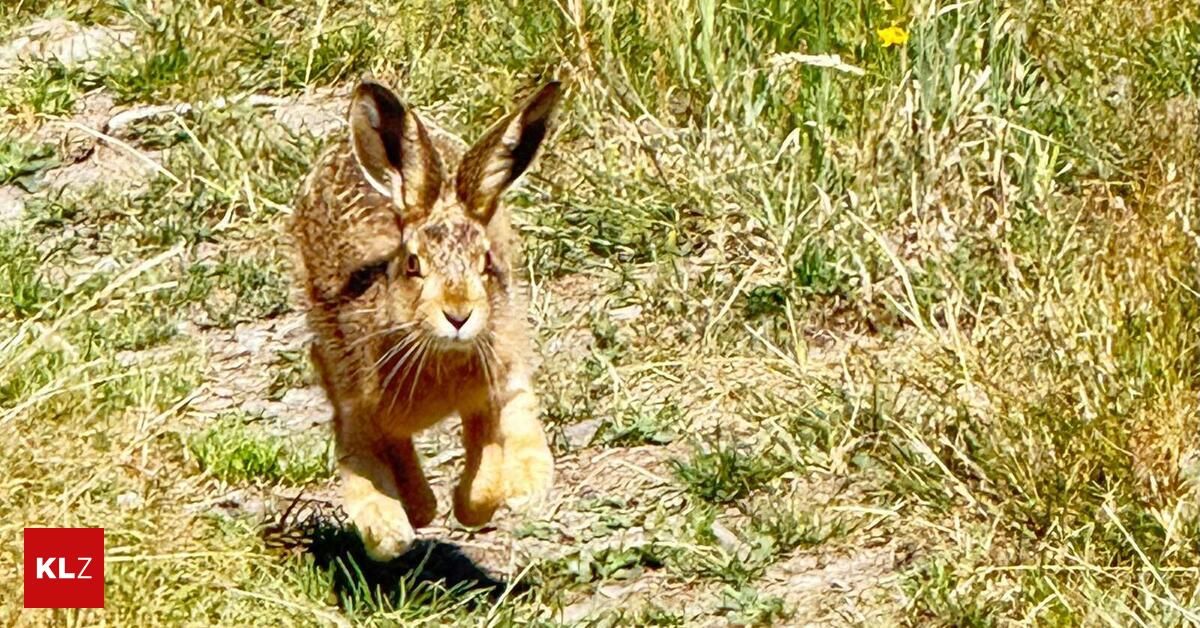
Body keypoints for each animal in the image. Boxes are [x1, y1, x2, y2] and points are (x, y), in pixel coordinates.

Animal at [291, 79, 561, 561]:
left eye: (486, 261)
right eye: (413, 264)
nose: (459, 315)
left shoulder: (501, 378)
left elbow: (501, 439)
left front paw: (506, 493)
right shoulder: (358, 409)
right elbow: (364, 464)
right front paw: (388, 531)